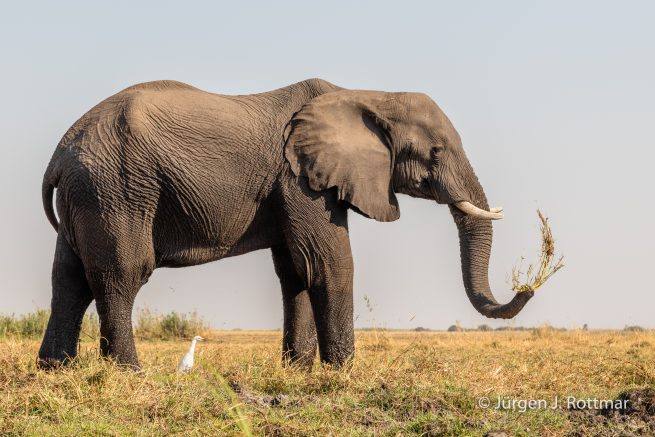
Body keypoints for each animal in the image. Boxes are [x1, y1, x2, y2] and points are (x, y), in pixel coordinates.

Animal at [38, 78, 534, 369]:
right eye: (435, 152)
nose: (526, 287)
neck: (366, 93)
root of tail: (60, 152)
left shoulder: (295, 185)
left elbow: (297, 270)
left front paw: (297, 371)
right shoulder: (300, 180)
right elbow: (329, 263)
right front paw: (342, 374)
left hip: (88, 195)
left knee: (69, 280)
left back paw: (56, 370)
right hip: (116, 190)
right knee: (122, 275)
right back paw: (129, 371)